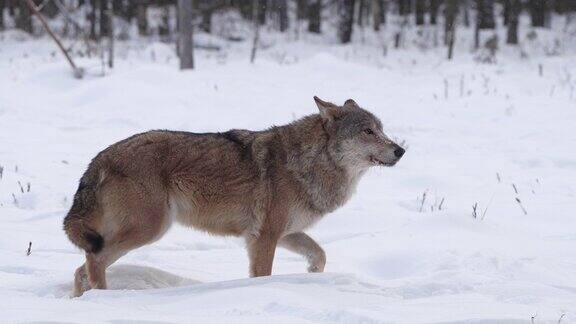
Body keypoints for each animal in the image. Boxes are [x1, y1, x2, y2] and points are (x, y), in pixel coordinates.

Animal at [64, 96, 404, 296]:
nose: (400, 150)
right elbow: (263, 275)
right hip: (150, 229)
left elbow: (319, 254)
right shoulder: (264, 237)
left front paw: (310, 277)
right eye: (367, 132)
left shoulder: (285, 233)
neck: (309, 162)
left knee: (81, 268)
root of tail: (100, 159)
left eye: (381, 129)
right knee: (93, 260)